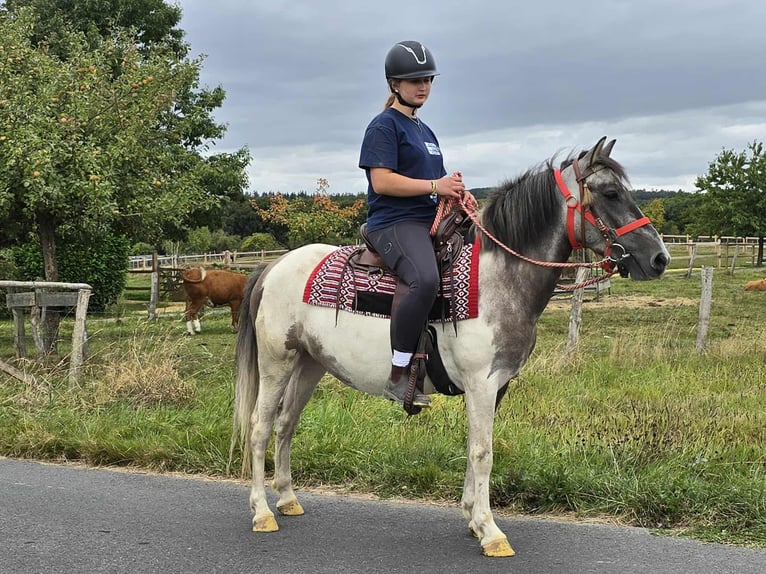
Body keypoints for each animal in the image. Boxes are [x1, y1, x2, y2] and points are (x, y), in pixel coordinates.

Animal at [231, 137, 670, 557]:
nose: (659, 258)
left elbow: (475, 449)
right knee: (260, 427)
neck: (497, 281)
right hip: (276, 363)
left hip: (310, 365)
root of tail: (274, 267)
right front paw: (491, 532)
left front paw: (473, 518)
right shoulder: (481, 383)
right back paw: (262, 511)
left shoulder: (496, 387)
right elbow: (483, 453)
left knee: (286, 424)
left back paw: (288, 499)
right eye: (611, 193)